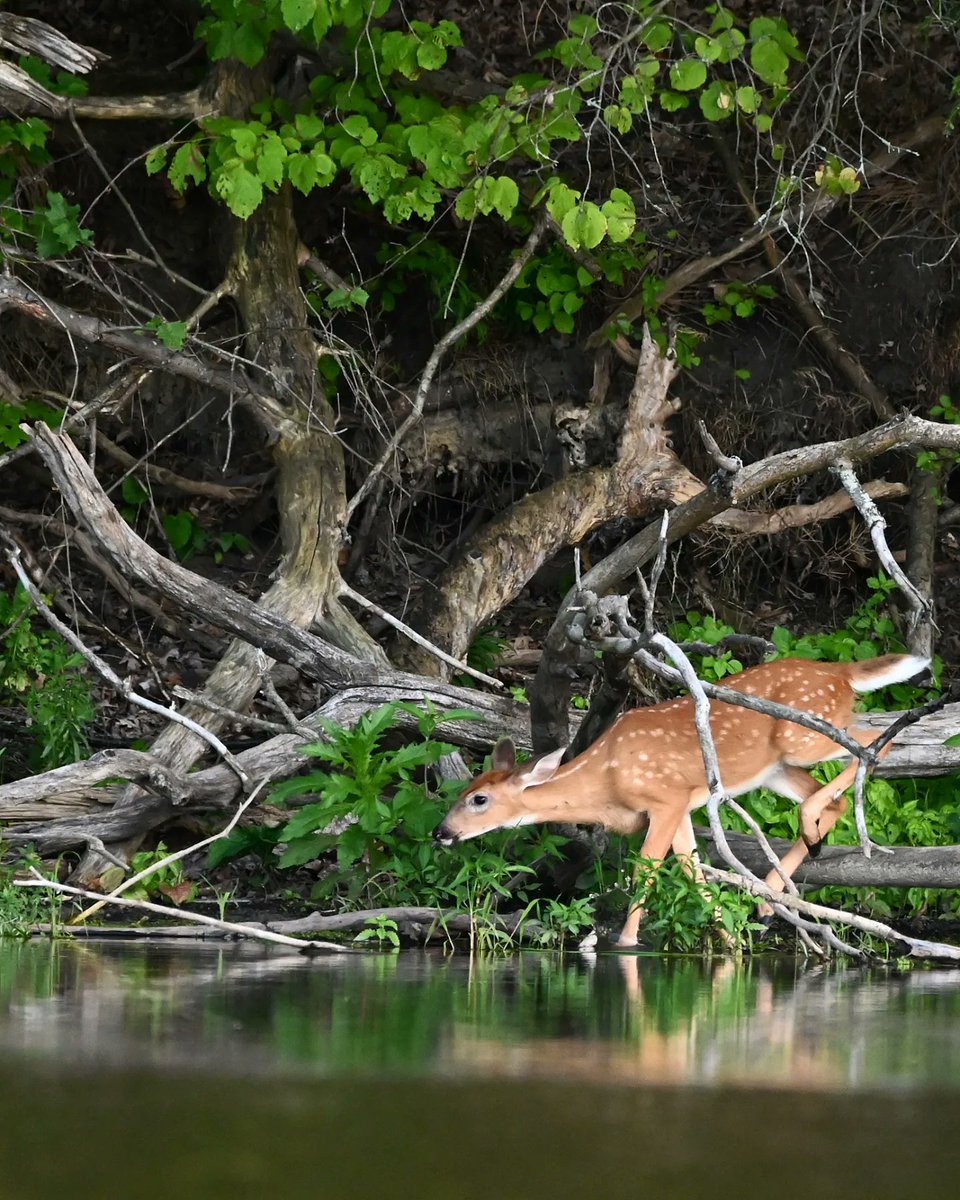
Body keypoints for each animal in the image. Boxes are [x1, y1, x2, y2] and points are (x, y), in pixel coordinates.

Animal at [434, 653, 929, 946]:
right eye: (464, 792)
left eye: (479, 800)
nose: (441, 832)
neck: (606, 781)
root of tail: (840, 672)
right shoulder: (684, 807)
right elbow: (692, 869)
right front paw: (729, 941)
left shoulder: (665, 797)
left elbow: (648, 870)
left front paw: (626, 944)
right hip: (777, 768)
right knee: (835, 798)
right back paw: (772, 895)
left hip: (804, 737)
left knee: (875, 742)